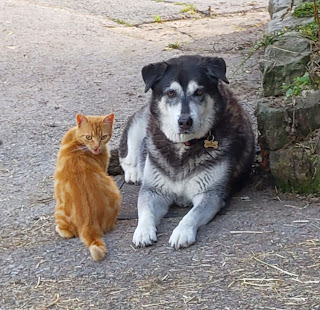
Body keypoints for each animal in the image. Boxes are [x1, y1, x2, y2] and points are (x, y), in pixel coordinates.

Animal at [53, 112, 121, 260]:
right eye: (88, 137)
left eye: (103, 137)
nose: (96, 147)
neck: (78, 142)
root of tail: (88, 222)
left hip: (58, 208)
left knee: (68, 233)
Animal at [119, 55, 254, 249]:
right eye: (170, 93)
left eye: (199, 92)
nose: (185, 121)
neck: (183, 146)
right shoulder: (153, 190)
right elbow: (145, 211)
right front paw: (143, 231)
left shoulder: (210, 194)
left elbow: (192, 214)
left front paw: (182, 232)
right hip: (137, 128)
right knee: (126, 156)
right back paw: (134, 173)